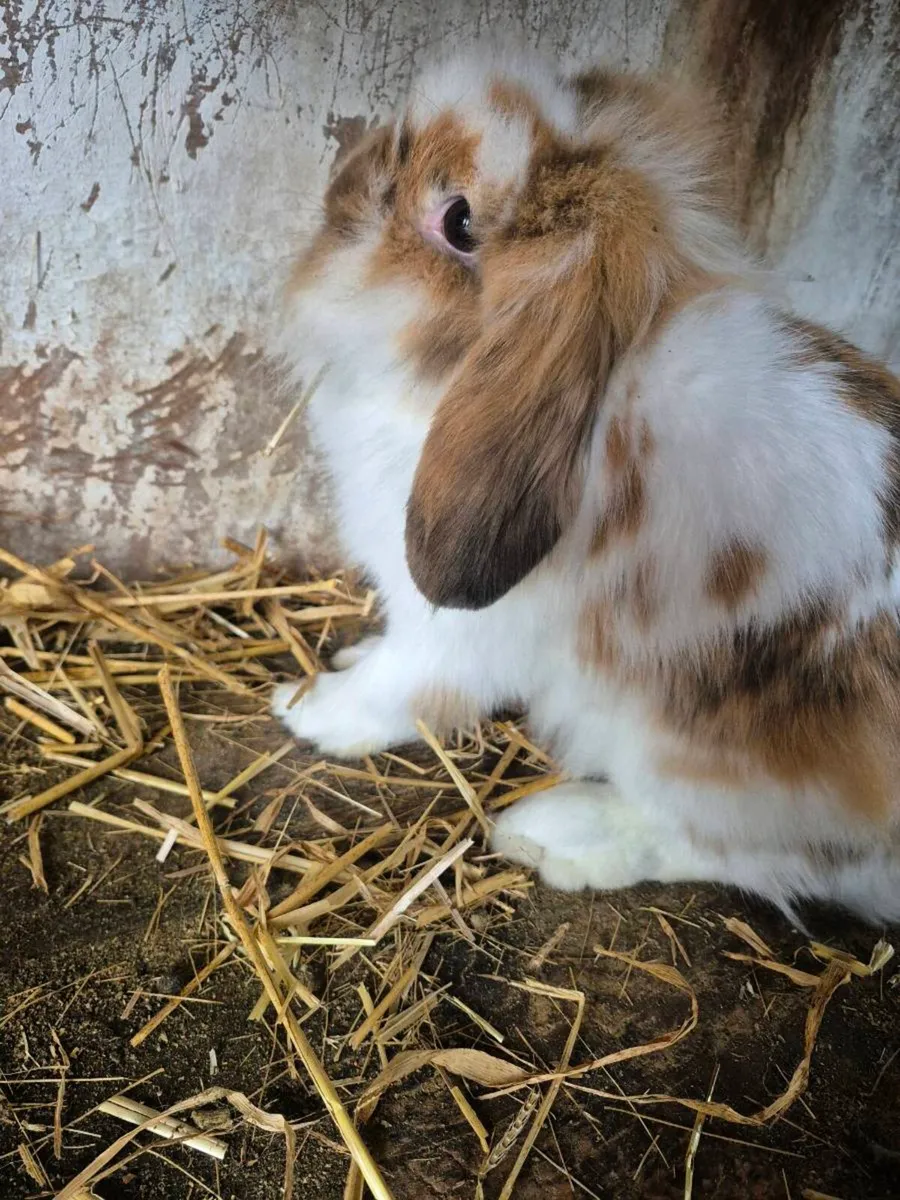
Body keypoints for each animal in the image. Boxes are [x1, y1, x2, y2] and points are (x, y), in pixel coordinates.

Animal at [272, 48, 900, 924]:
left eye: (457, 221)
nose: (343, 181)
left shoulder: (452, 635)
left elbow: (398, 686)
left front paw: (309, 709)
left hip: (711, 762)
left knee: (755, 855)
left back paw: (555, 833)